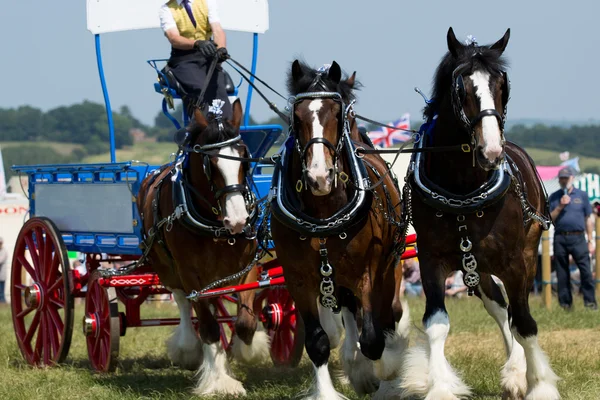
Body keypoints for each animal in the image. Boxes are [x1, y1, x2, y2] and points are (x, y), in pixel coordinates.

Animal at [137, 98, 268, 396]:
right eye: (211, 163)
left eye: (244, 156)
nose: (238, 220)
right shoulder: (190, 275)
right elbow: (207, 327)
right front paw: (220, 381)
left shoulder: (248, 267)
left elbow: (245, 322)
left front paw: (248, 350)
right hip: (166, 267)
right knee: (183, 302)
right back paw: (188, 348)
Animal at [270, 61, 410, 398]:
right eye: (296, 116)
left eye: (337, 112)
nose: (319, 177)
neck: (323, 214)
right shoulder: (298, 278)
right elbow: (318, 342)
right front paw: (330, 388)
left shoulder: (366, 272)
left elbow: (373, 338)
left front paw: (383, 373)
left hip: (389, 268)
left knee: (388, 317)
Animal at [396, 28, 560, 400]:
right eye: (461, 88)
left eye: (503, 84)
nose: (492, 150)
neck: (462, 186)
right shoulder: (431, 259)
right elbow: (436, 323)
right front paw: (440, 387)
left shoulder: (515, 262)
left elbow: (525, 323)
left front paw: (540, 385)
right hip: (477, 264)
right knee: (499, 307)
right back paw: (513, 371)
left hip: (523, 255)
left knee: (512, 312)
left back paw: (518, 373)